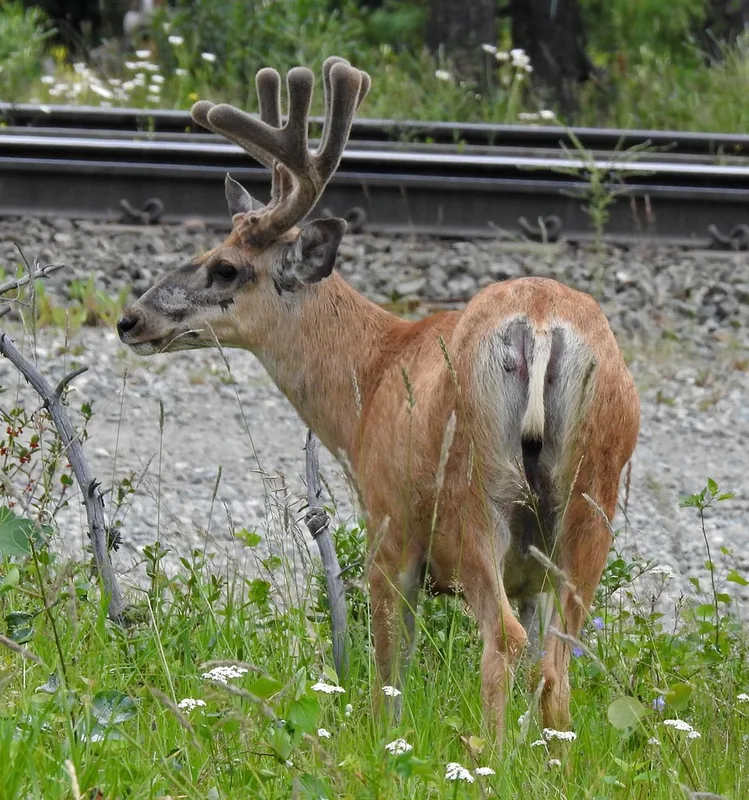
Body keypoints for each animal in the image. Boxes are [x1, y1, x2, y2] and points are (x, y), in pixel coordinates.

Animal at [116, 56, 640, 747]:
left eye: (225, 267)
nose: (130, 320)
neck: (372, 375)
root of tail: (540, 322)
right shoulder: (526, 570)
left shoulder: (389, 524)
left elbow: (390, 668)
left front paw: (383, 744)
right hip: (588, 496)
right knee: (557, 658)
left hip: (475, 494)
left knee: (503, 639)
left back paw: (492, 755)